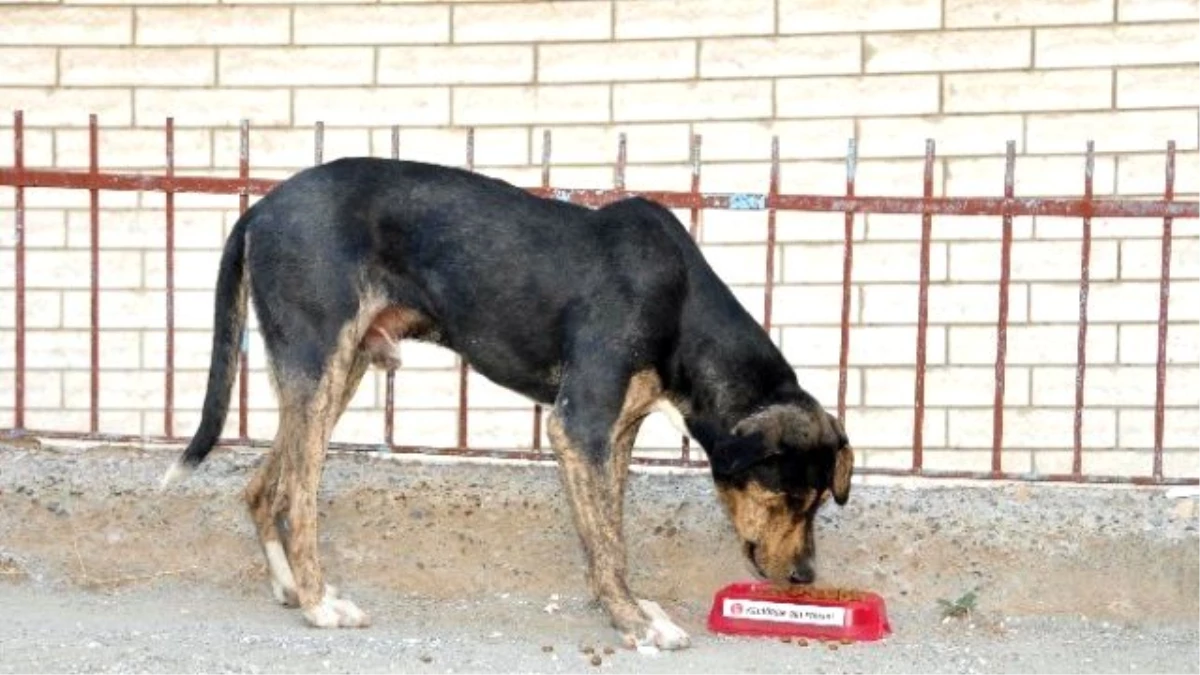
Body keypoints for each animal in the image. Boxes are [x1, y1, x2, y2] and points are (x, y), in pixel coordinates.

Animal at [162, 154, 854, 648]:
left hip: (338, 371)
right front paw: (634, 622)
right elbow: (608, 541)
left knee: (264, 487)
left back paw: (287, 588)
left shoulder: (616, 431)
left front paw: (625, 606)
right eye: (791, 497)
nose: (806, 579)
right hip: (320, 362)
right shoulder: (580, 426)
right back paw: (318, 603)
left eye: (822, 500)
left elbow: (609, 531)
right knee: (298, 497)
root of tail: (261, 207)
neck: (683, 308)